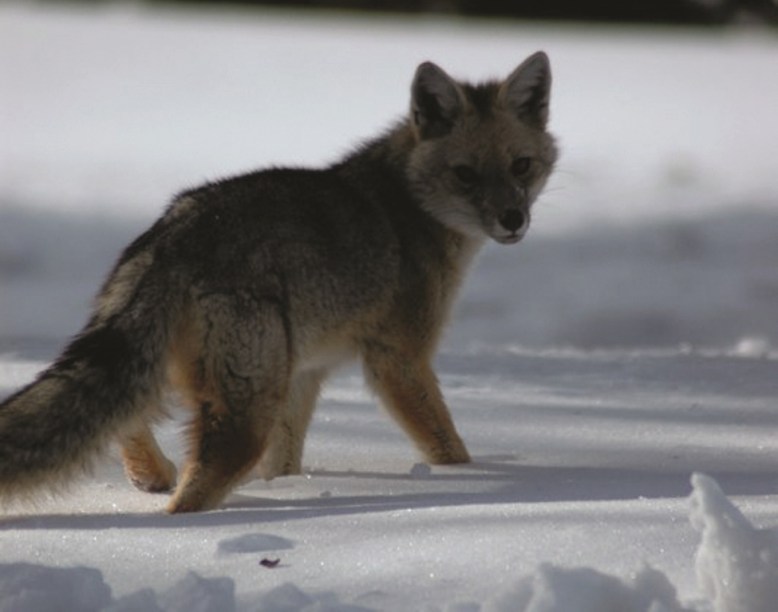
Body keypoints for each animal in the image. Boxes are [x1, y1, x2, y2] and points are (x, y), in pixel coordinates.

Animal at [0, 52, 556, 512]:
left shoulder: (306, 374)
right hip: (247, 411)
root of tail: (175, 233)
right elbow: (449, 449)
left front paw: (285, 487)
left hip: (217, 378)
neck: (407, 206)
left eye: (521, 166)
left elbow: (284, 464)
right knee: (189, 493)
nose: (513, 220)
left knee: (125, 426)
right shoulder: (398, 360)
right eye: (466, 174)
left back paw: (152, 476)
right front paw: (472, 477)